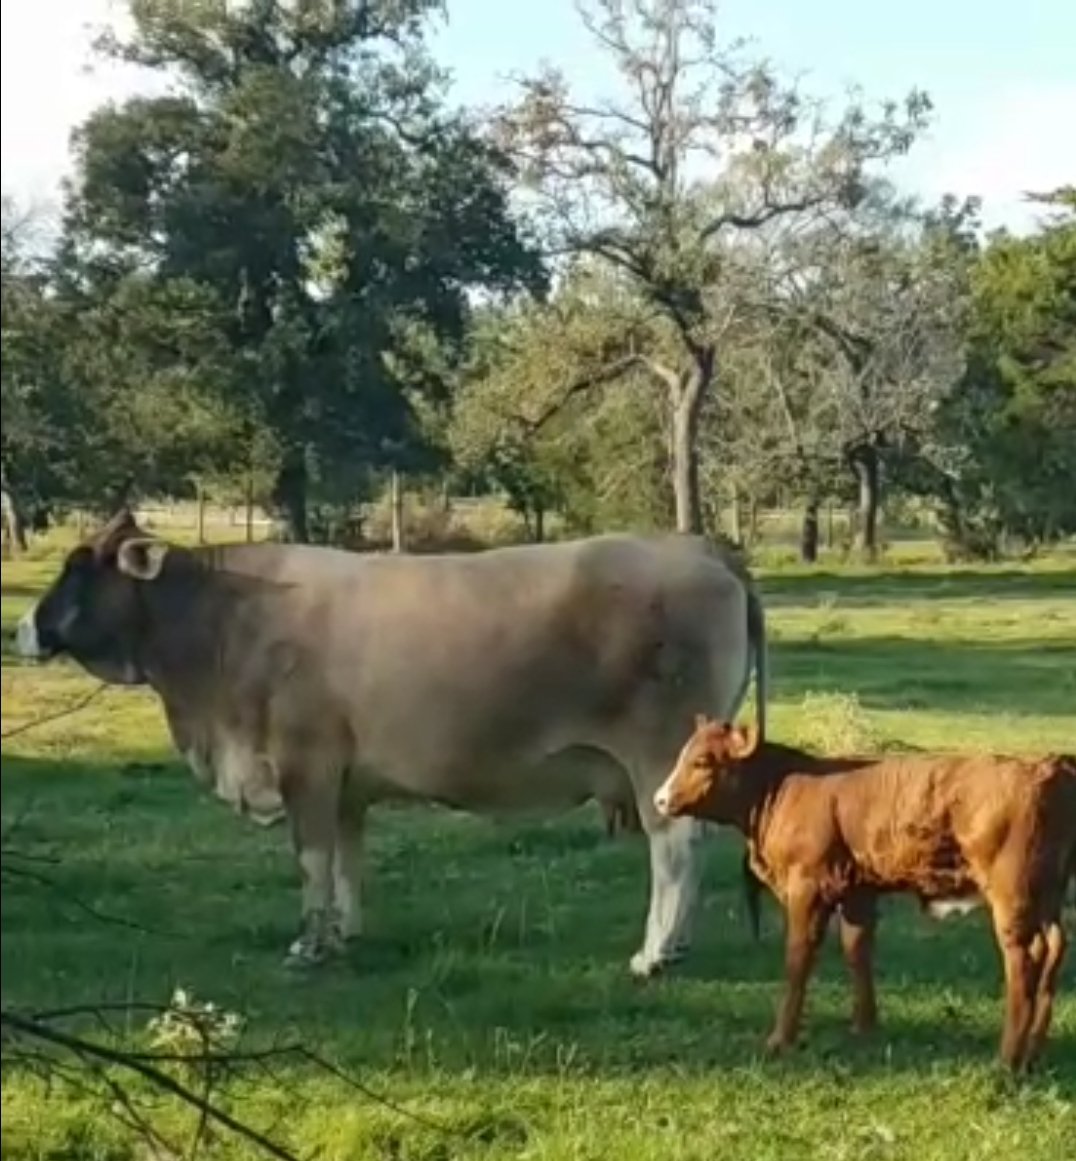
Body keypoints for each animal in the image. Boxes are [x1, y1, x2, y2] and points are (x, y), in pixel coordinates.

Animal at [15, 510, 767, 976]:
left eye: (79, 567)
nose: (23, 629)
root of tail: (696, 546)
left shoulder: (306, 766)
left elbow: (312, 860)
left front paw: (308, 945)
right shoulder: (346, 783)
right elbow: (348, 860)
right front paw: (345, 934)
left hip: (657, 756)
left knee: (674, 847)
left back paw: (655, 953)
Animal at [653, 717, 1076, 1071]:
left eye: (703, 761)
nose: (660, 799)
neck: (781, 788)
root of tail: (1045, 766)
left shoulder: (807, 886)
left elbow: (798, 959)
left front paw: (779, 1039)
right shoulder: (857, 891)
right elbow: (857, 949)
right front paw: (864, 1026)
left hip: (1011, 894)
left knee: (1025, 957)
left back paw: (1007, 1061)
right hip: (1047, 893)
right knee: (1055, 946)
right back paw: (1034, 1051)